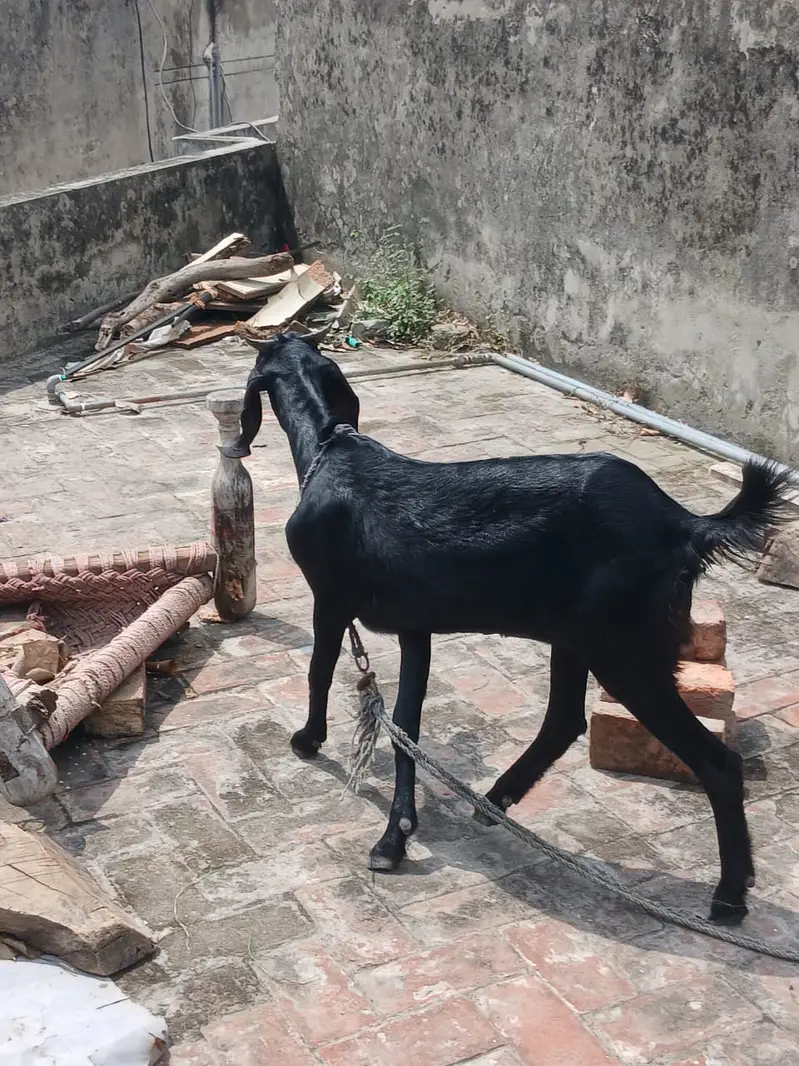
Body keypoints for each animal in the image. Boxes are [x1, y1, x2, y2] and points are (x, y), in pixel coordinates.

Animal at [225, 331, 791, 925]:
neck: (332, 450)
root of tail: (682, 524)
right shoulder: (416, 627)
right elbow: (406, 724)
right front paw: (396, 834)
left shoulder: (329, 600)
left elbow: (319, 671)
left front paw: (309, 740)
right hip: (579, 637)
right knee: (564, 720)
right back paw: (497, 798)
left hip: (623, 650)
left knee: (718, 763)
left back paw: (729, 896)